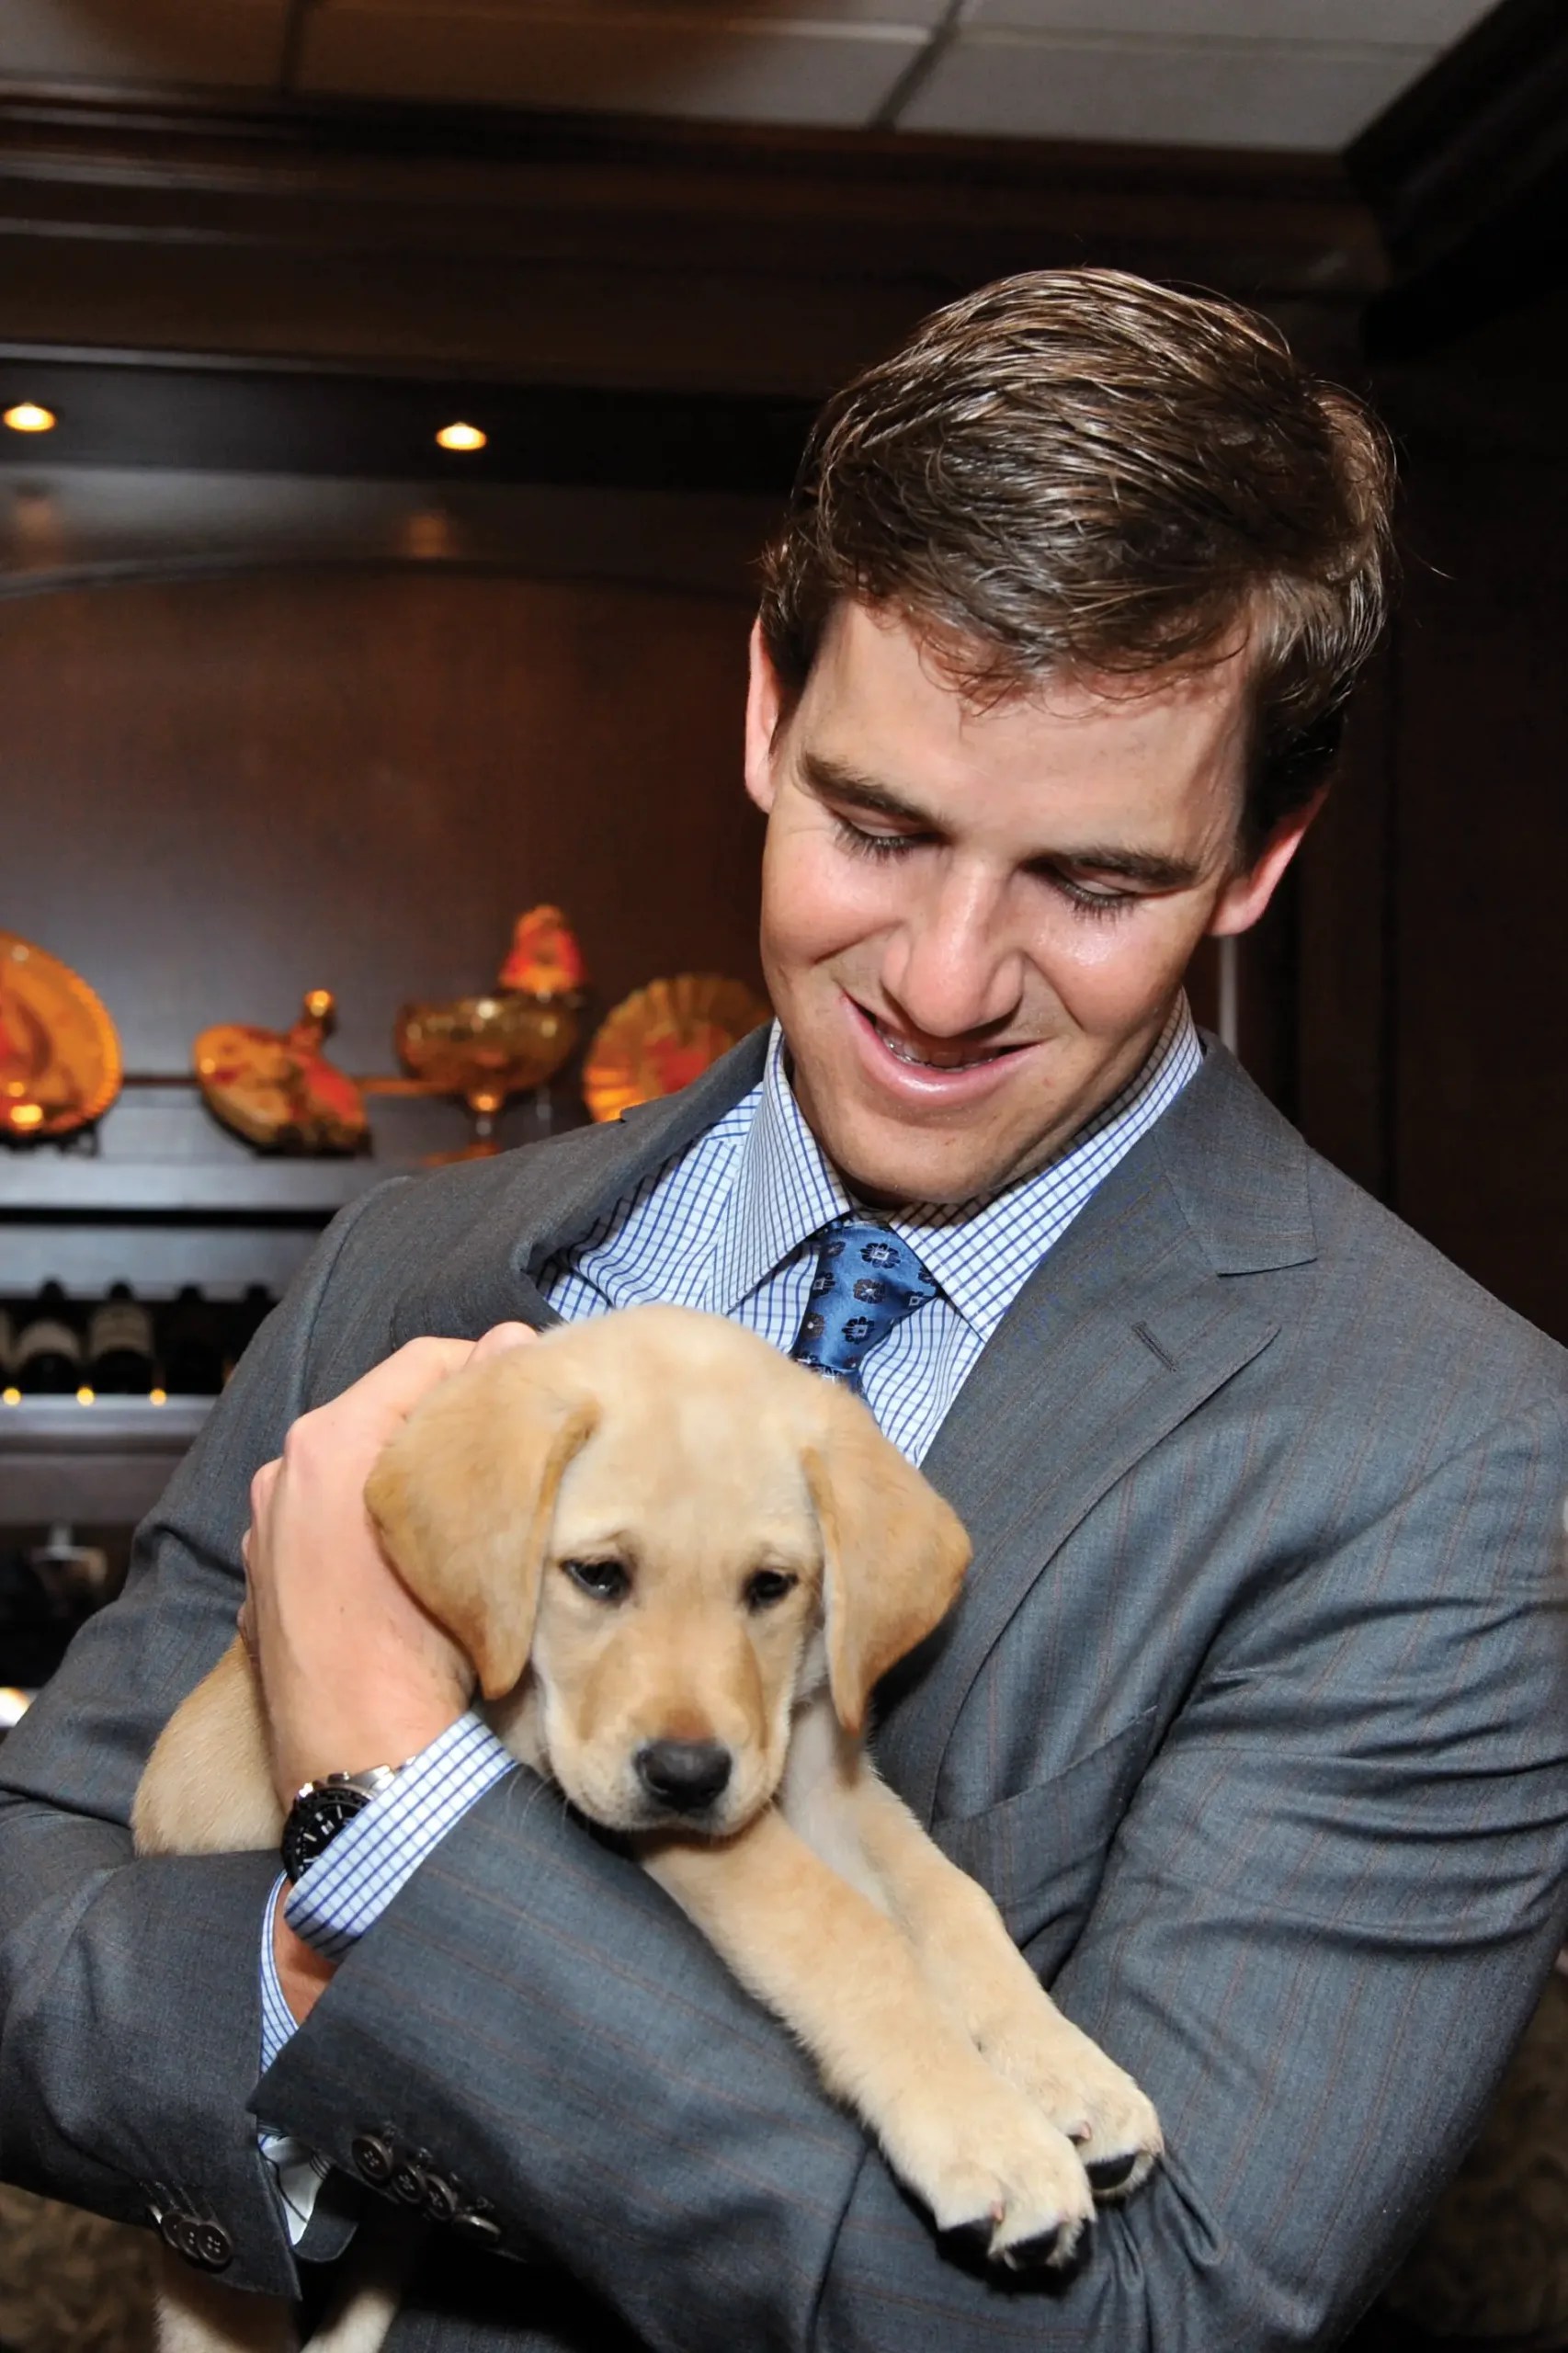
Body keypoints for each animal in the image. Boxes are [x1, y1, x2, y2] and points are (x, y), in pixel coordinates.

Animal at [134, 1308, 1153, 2353]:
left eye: (771, 1586)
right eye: (598, 1575)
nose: (686, 1777)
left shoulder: (815, 1770)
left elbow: (947, 1899)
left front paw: (1068, 2074)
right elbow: (845, 1933)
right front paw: (987, 2136)